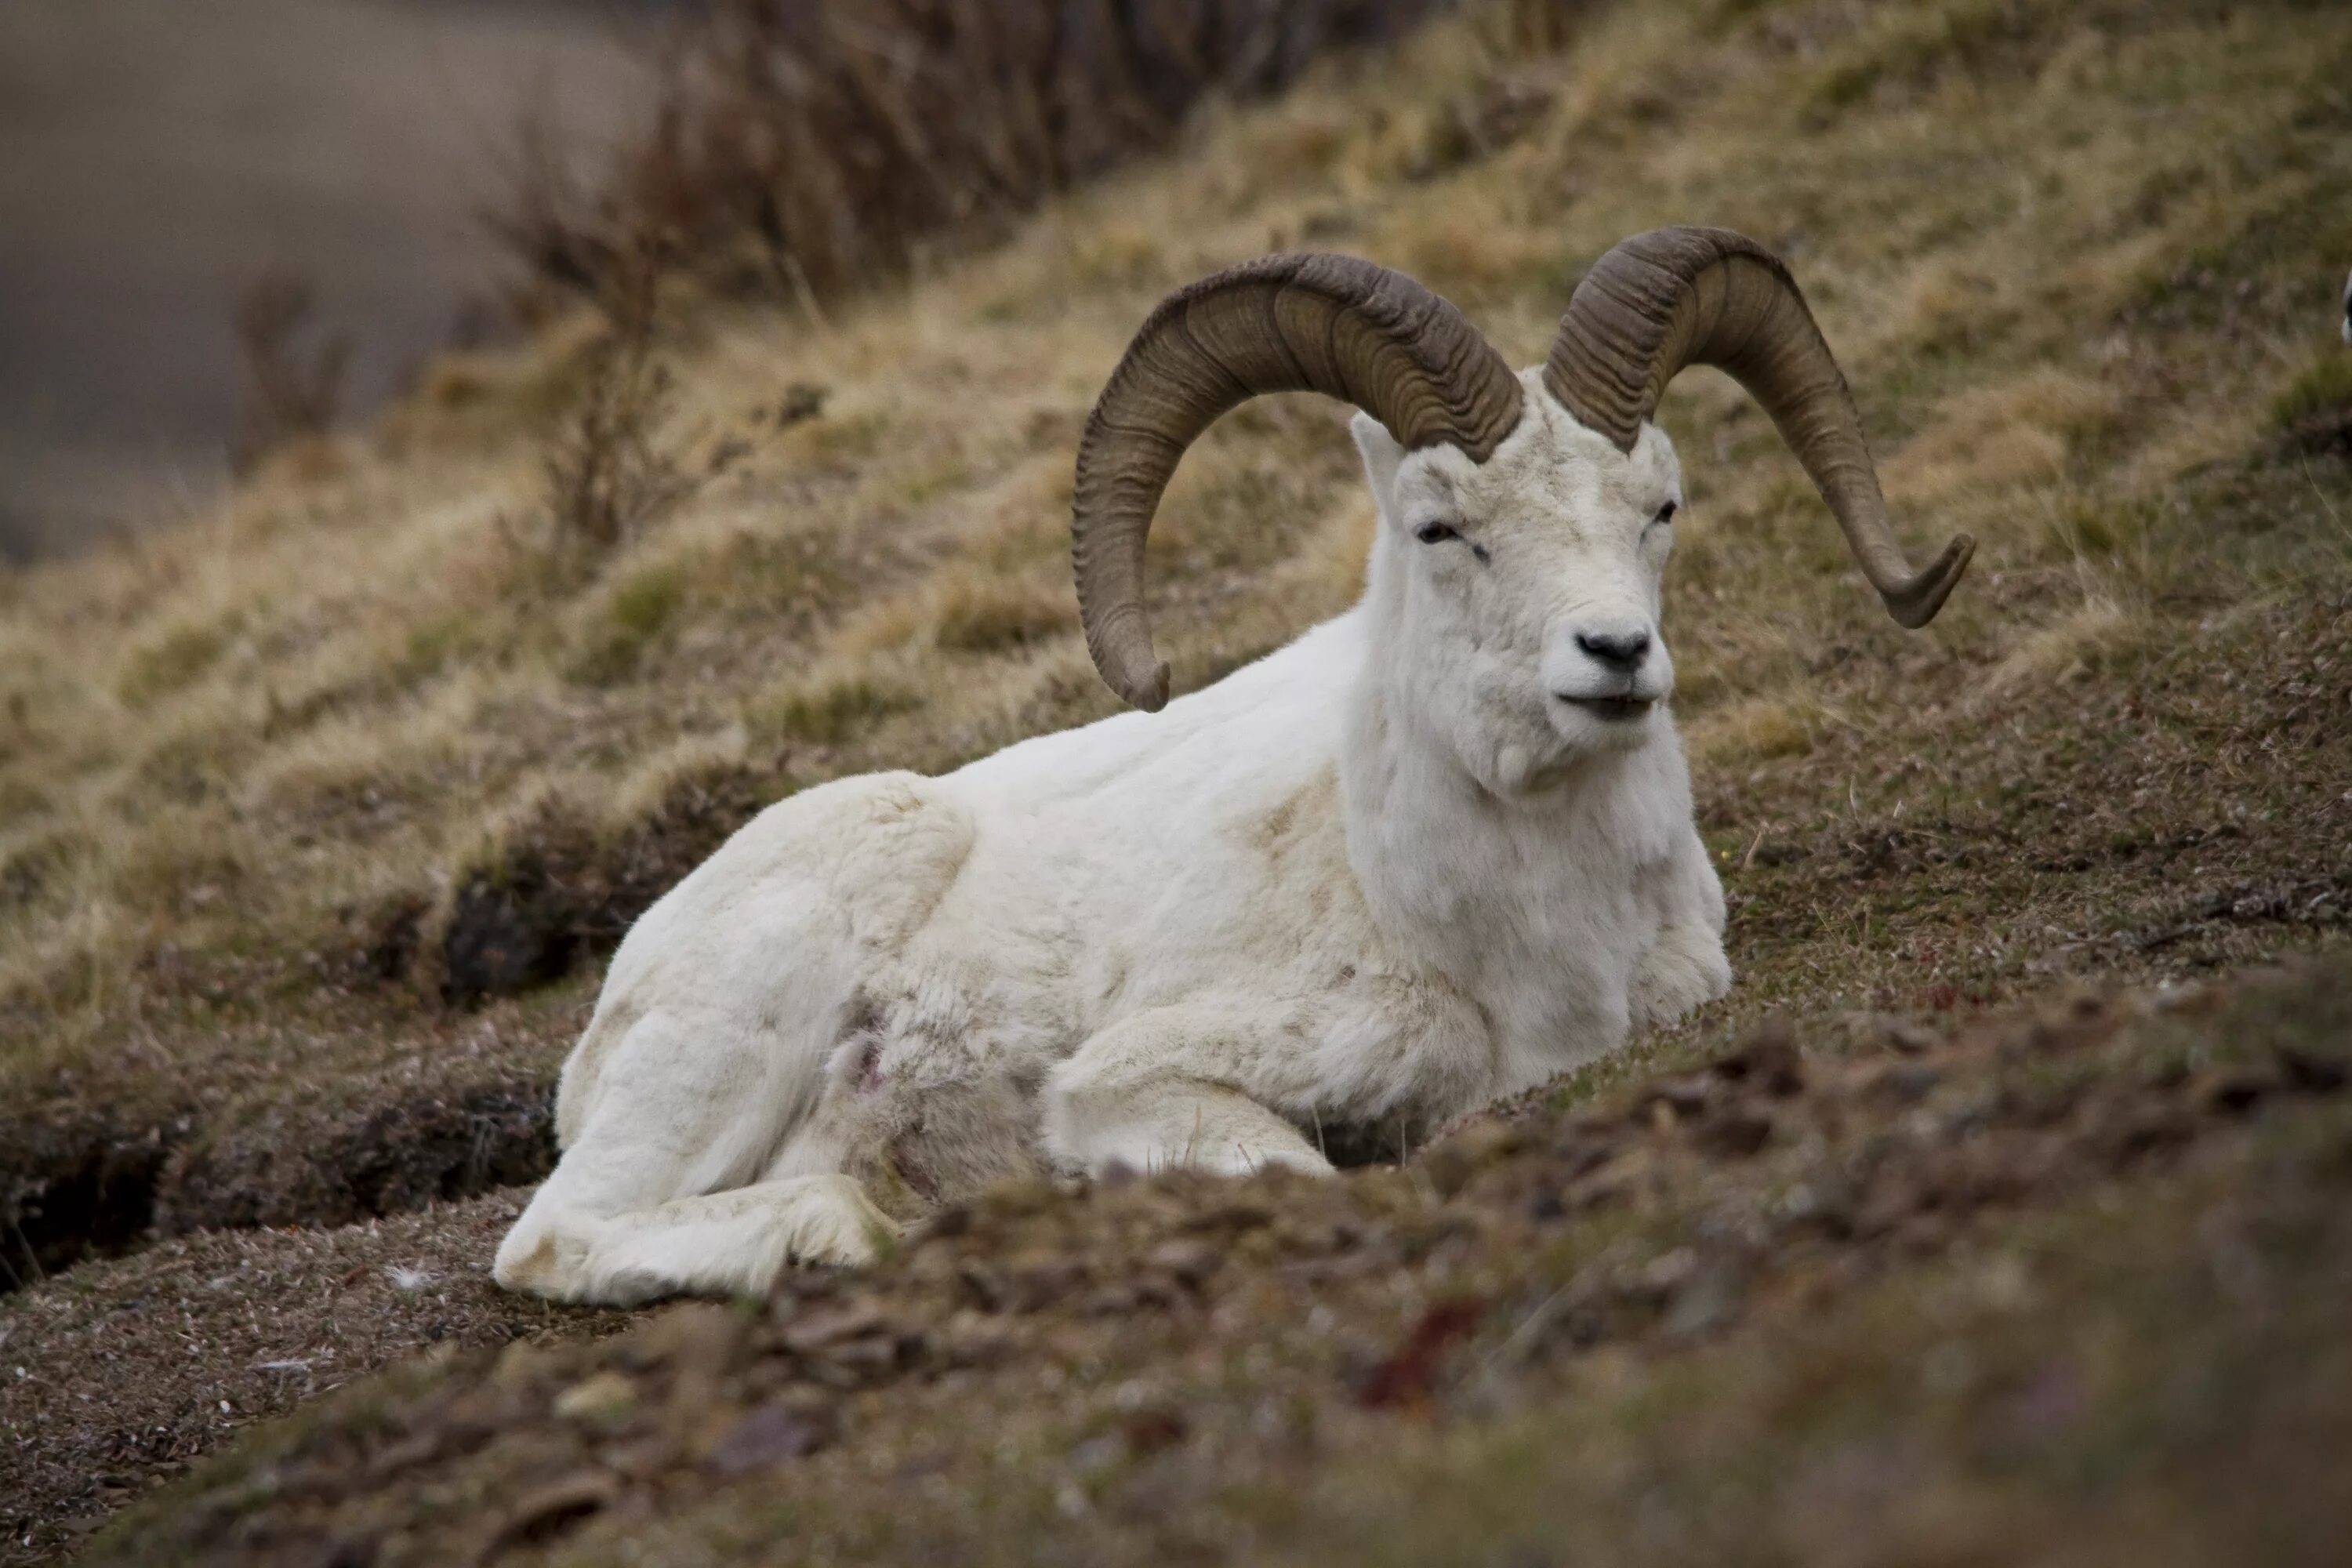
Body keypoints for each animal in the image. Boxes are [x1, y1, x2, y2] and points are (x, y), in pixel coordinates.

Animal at [496, 227, 1966, 1307]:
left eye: (1660, 507)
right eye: (1440, 529)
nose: (1613, 655)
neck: (1515, 942)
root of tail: (613, 1002)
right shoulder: (1135, 1085)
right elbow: (1301, 1178)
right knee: (558, 1236)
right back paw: (846, 1228)